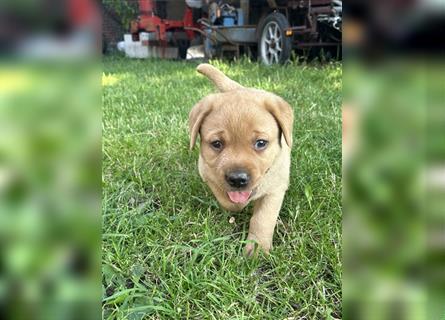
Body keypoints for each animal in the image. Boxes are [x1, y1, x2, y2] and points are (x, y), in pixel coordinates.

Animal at [189, 64, 294, 255]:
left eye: (261, 143)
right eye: (217, 144)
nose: (238, 180)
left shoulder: (275, 188)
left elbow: (263, 219)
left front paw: (257, 248)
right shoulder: (206, 174)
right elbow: (228, 201)